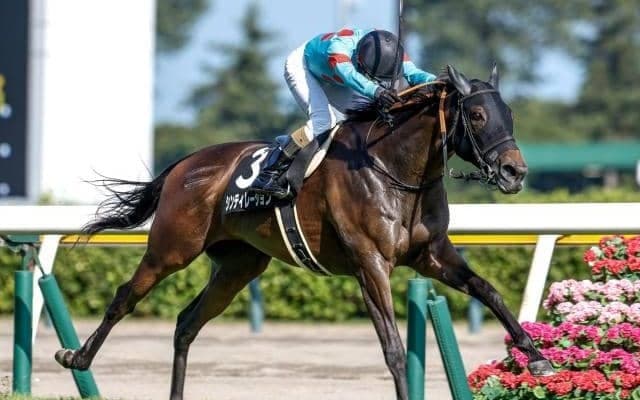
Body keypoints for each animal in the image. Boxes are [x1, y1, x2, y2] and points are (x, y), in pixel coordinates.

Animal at [54, 65, 553, 400]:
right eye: (478, 115)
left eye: (508, 112)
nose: (515, 172)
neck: (392, 168)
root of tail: (185, 163)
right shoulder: (369, 264)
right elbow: (393, 347)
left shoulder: (432, 254)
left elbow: (489, 292)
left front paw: (537, 357)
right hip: (172, 249)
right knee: (125, 296)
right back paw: (75, 357)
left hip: (238, 266)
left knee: (186, 323)